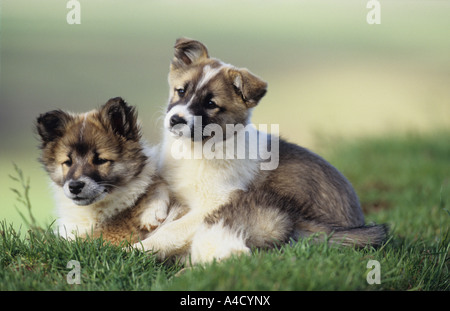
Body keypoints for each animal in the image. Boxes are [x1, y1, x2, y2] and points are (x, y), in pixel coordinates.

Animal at [135, 37, 388, 264]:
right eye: (181, 91)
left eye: (210, 104)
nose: (175, 120)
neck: (198, 149)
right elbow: (158, 183)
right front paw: (151, 212)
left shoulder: (214, 203)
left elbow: (172, 229)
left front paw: (139, 248)